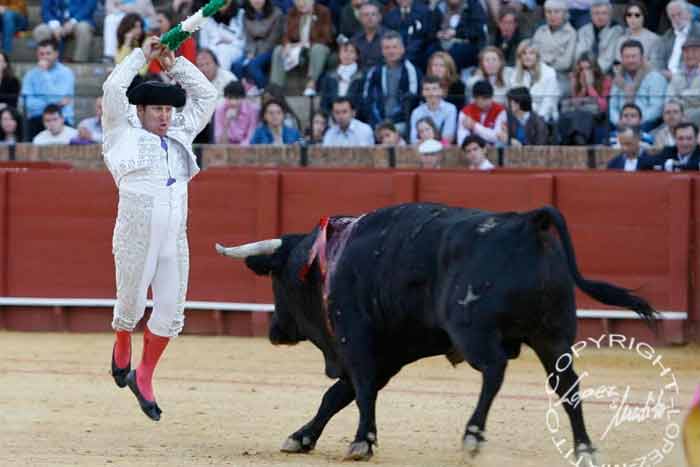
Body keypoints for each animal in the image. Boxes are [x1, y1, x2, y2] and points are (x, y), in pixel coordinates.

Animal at [215, 203, 656, 462]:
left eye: (276, 278)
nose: (274, 330)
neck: (326, 261)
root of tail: (525, 223)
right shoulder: (387, 356)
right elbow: (336, 396)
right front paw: (302, 437)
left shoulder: (356, 341)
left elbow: (360, 391)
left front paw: (362, 442)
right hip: (553, 337)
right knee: (567, 386)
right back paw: (584, 447)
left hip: (473, 332)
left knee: (495, 370)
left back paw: (473, 435)